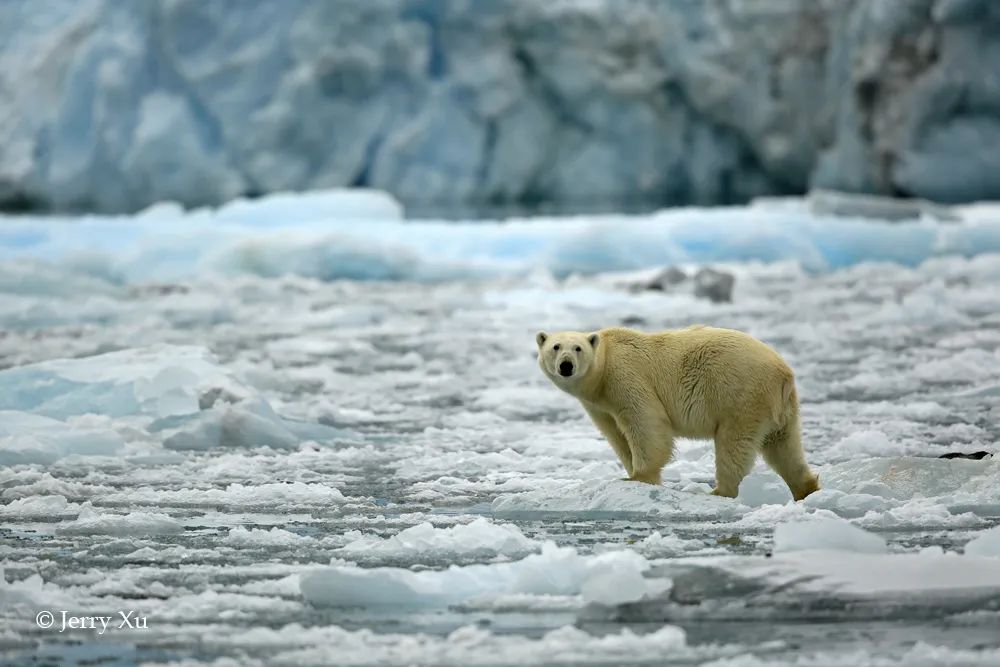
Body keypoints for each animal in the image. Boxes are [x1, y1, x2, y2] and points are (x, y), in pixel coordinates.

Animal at [536, 326, 816, 498]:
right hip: (781, 410)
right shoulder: (599, 406)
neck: (603, 369)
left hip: (741, 396)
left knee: (734, 444)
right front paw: (631, 471)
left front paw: (637, 477)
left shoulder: (625, 376)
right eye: (555, 347)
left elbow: (646, 423)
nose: (566, 366)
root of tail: (784, 372)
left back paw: (720, 490)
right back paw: (806, 488)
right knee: (784, 447)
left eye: (578, 348)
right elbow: (616, 435)